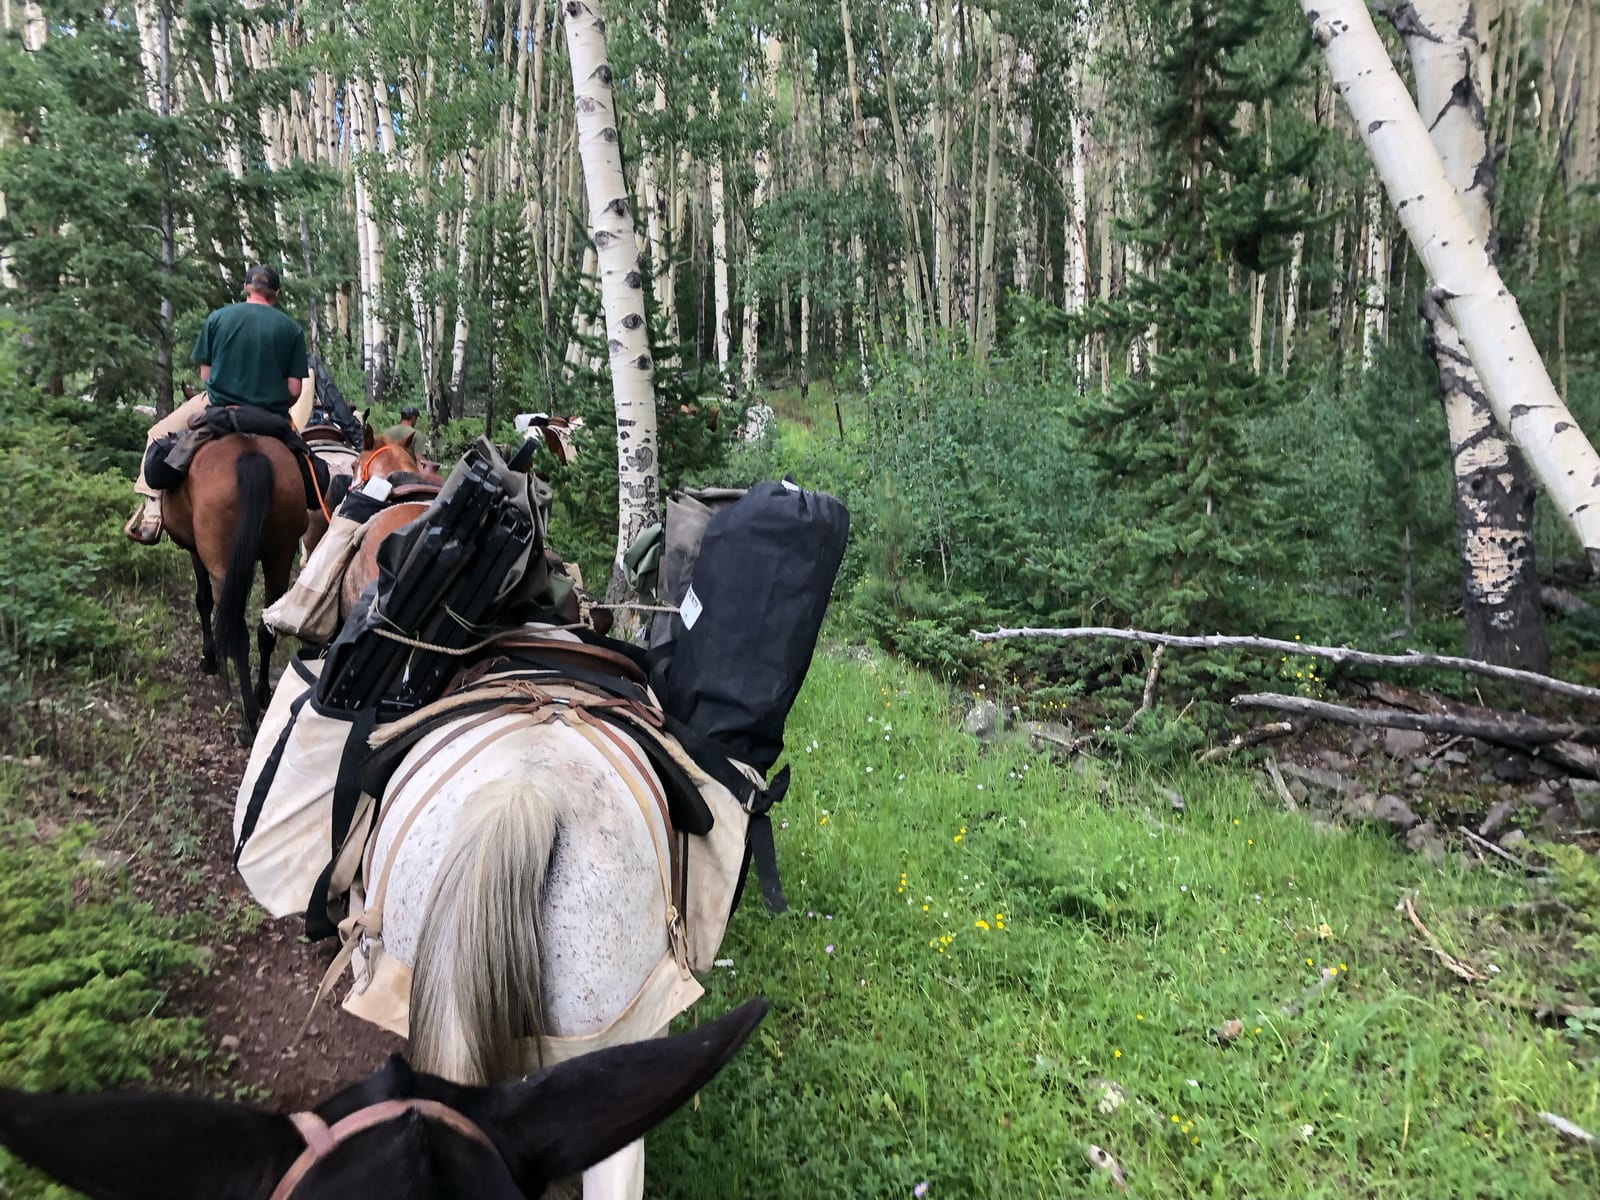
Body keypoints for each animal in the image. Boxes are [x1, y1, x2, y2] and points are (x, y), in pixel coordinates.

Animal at [162, 433, 308, 734]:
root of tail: (250, 453)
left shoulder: (197, 553)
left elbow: (203, 600)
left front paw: (208, 658)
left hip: (221, 564)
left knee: (238, 636)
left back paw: (249, 717)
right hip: (280, 557)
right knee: (266, 629)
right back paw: (262, 693)